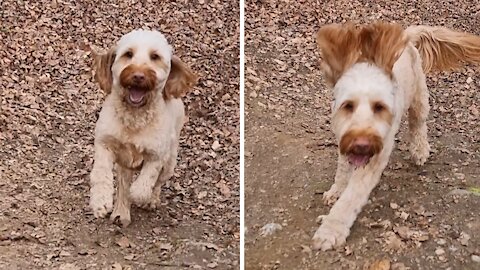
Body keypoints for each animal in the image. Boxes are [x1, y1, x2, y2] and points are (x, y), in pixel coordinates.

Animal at [89, 30, 196, 228]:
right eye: (128, 54)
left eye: (155, 57)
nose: (138, 76)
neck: (134, 119)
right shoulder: (105, 144)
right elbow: (101, 175)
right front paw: (101, 202)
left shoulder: (157, 155)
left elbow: (143, 186)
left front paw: (140, 197)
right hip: (125, 166)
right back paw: (121, 213)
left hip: (169, 163)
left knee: (158, 183)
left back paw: (151, 200)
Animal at [312, 22, 480, 250]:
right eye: (348, 105)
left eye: (380, 107)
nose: (362, 143)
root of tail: (406, 37)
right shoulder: (344, 142)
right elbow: (342, 171)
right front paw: (336, 190)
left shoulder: (373, 159)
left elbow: (351, 197)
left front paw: (330, 230)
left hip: (419, 96)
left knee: (418, 124)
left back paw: (419, 150)